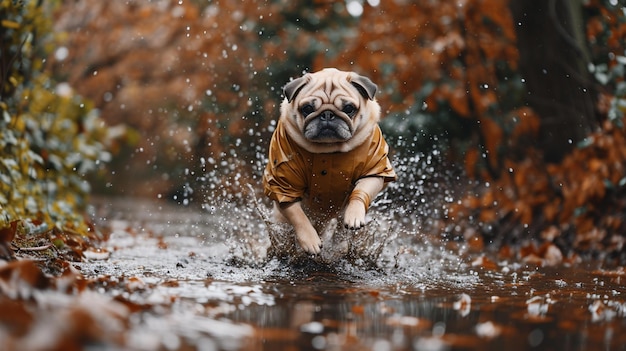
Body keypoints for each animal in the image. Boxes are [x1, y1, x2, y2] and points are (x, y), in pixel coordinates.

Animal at [260, 68, 392, 256]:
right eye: (307, 109)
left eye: (349, 108)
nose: (327, 114)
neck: (328, 150)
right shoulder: (284, 187)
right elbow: (297, 215)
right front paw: (310, 241)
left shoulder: (375, 170)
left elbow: (360, 191)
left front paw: (354, 215)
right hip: (282, 220)